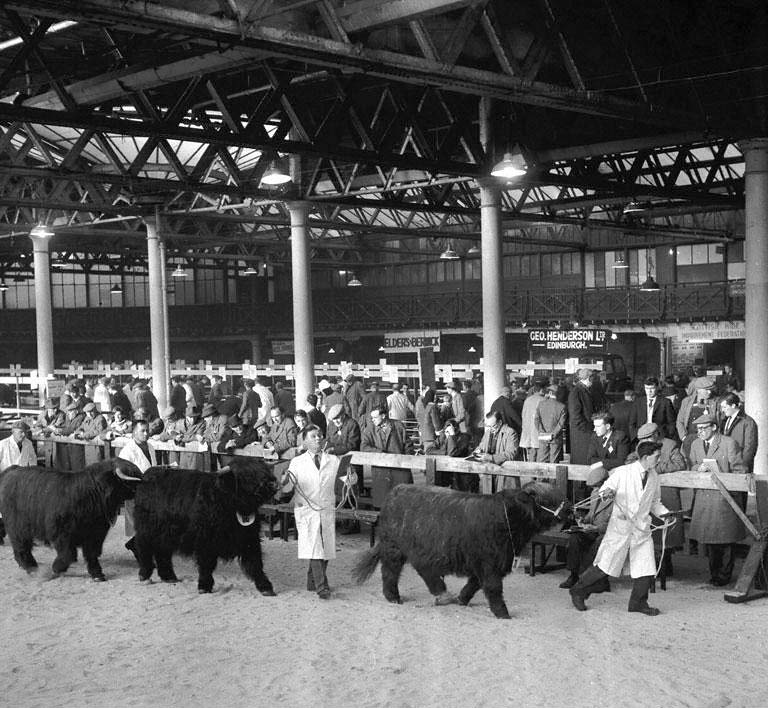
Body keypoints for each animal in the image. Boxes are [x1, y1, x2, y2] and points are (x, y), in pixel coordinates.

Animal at [0, 460, 144, 580]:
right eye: (133, 477)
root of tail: (12, 470)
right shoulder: (62, 533)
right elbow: (68, 554)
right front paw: (54, 570)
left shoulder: (95, 534)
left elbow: (92, 554)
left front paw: (97, 574)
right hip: (17, 526)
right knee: (21, 546)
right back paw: (31, 568)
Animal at [134, 456, 280, 596]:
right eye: (247, 475)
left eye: (264, 470)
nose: (272, 484)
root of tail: (147, 475)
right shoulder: (205, 541)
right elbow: (206, 564)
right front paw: (204, 586)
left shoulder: (250, 539)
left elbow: (255, 564)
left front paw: (265, 587)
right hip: (146, 531)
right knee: (144, 549)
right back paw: (144, 575)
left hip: (165, 534)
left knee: (162, 552)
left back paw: (168, 576)